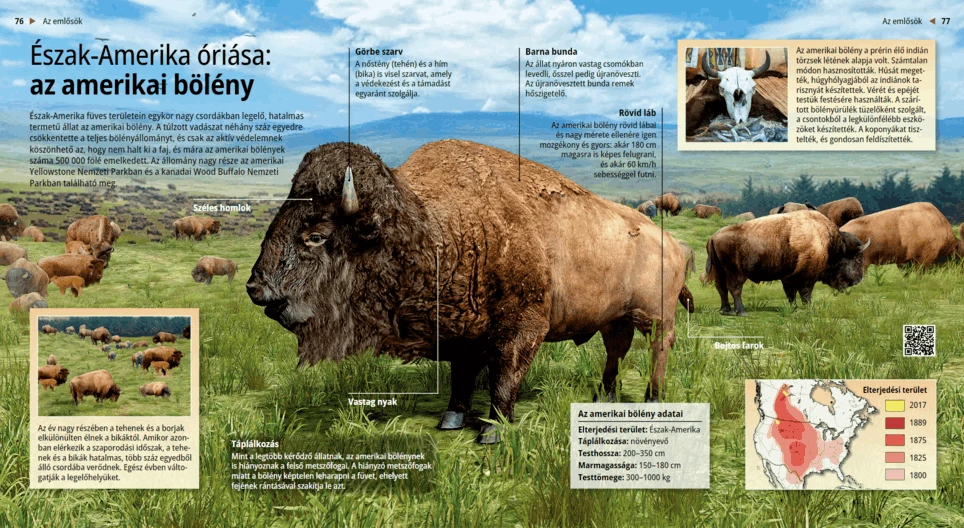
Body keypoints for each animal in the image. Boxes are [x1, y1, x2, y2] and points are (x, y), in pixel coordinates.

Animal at [247, 140, 689, 443]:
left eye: (315, 235)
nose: (256, 288)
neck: (435, 230)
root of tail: (674, 242)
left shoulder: (521, 330)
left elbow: (503, 378)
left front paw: (493, 430)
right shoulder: (463, 331)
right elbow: (462, 375)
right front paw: (452, 419)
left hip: (657, 317)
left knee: (659, 347)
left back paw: (653, 399)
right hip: (615, 319)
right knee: (617, 351)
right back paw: (604, 398)